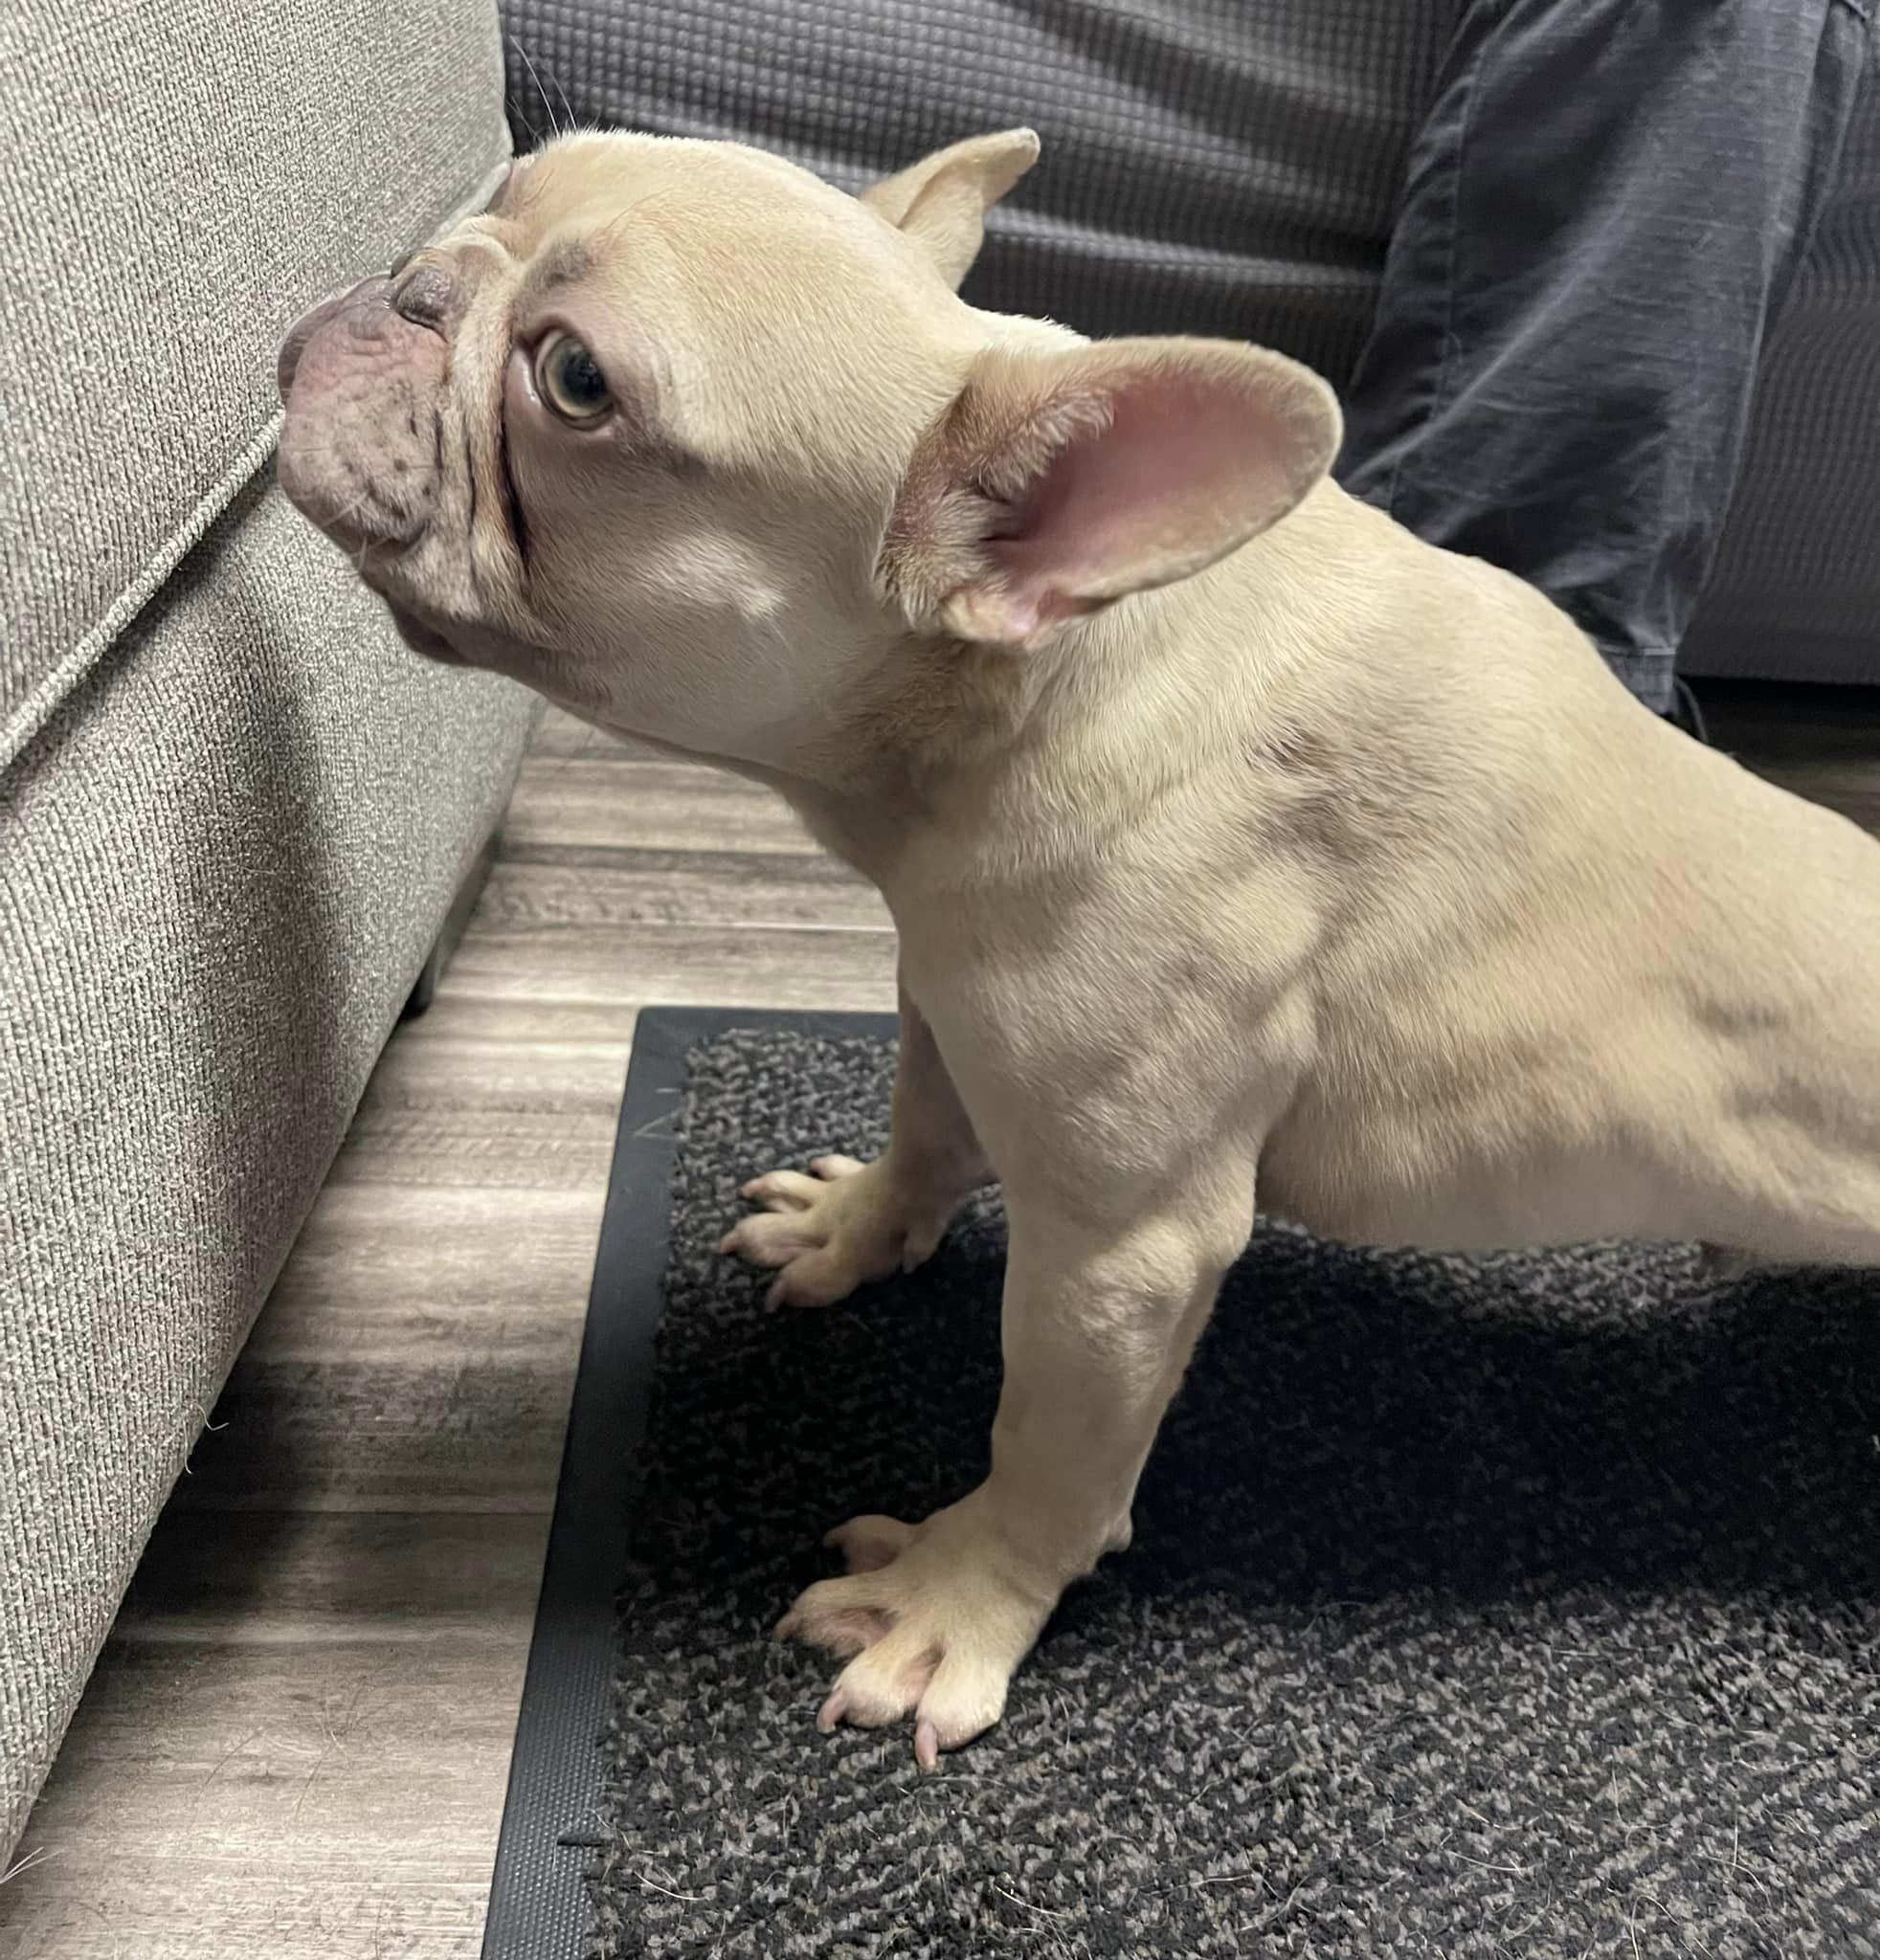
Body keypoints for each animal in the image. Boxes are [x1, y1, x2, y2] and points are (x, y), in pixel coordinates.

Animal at [276, 130, 1880, 1771]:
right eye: (506, 186)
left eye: (576, 379)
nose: (411, 280)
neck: (1025, 694)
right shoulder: (951, 993)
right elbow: (926, 1126)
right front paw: (860, 1228)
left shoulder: (1126, 1251)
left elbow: (1049, 1451)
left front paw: (955, 1601)